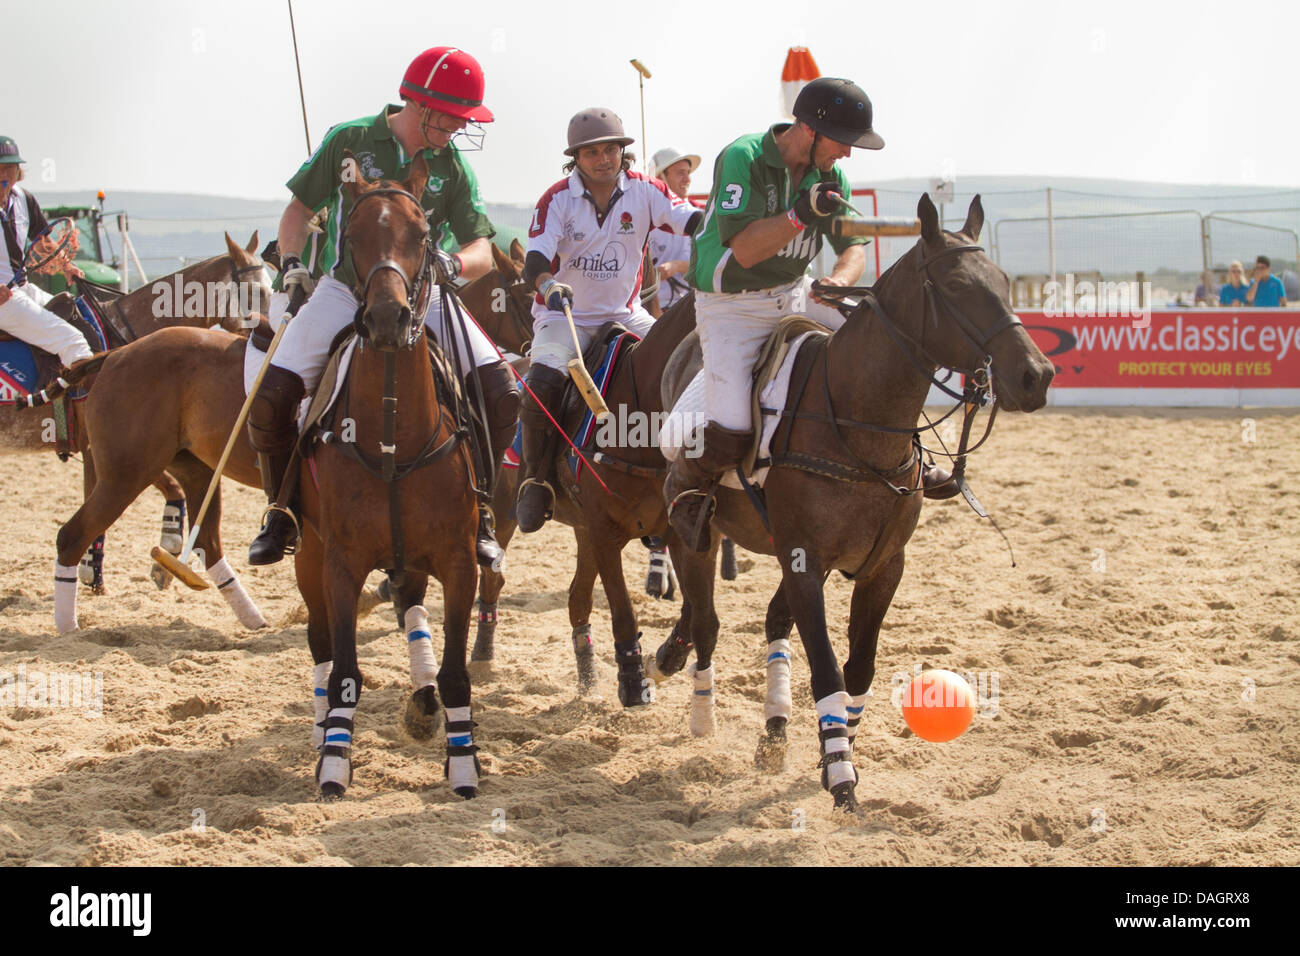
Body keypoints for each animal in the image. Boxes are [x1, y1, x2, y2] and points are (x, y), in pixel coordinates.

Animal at [644, 197, 1050, 811]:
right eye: (956, 285)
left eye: (1004, 281)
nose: (1037, 376)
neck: (860, 431)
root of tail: (684, 346)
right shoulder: (805, 562)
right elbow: (828, 669)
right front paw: (840, 778)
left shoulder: (883, 566)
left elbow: (858, 668)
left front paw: (839, 752)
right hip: (705, 523)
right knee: (708, 613)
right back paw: (700, 711)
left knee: (758, 618)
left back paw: (772, 729)